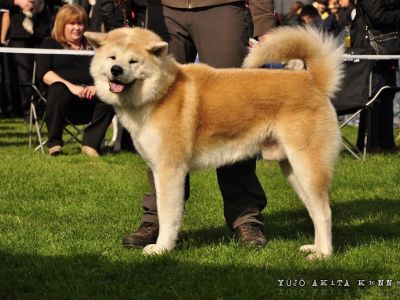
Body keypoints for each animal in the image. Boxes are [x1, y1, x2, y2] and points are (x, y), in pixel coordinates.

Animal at [84, 25, 344, 258]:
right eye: (112, 57)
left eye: (134, 61)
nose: (116, 70)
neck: (162, 92)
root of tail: (313, 81)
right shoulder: (157, 168)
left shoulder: (170, 170)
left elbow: (168, 214)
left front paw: (162, 248)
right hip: (293, 170)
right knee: (315, 212)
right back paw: (314, 248)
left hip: (307, 165)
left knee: (325, 212)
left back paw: (324, 255)